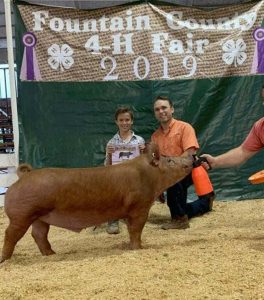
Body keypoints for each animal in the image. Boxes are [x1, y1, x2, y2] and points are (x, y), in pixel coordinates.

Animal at [1, 143, 193, 262]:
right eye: (170, 160)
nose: (191, 158)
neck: (149, 175)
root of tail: (23, 176)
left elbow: (132, 230)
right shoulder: (139, 207)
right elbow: (136, 229)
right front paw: (139, 248)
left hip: (40, 217)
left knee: (39, 235)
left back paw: (52, 254)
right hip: (22, 215)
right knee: (10, 234)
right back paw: (5, 260)